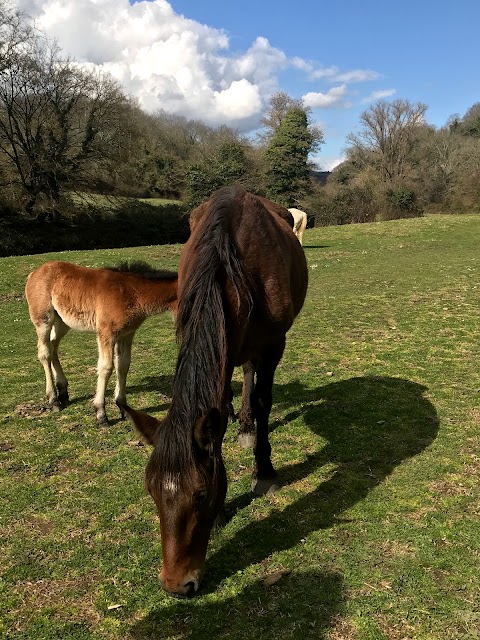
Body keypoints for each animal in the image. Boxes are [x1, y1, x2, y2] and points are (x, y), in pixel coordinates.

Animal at [25, 260, 178, 424]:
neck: (132, 292)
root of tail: (34, 273)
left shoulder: (127, 334)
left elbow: (123, 365)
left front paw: (123, 406)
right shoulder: (106, 333)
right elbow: (106, 367)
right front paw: (101, 414)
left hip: (62, 322)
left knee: (53, 346)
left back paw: (63, 392)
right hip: (43, 320)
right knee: (45, 353)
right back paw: (54, 400)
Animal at [124, 185, 308, 596]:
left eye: (200, 494)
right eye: (151, 491)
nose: (177, 585)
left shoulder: (273, 345)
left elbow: (263, 400)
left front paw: (264, 471)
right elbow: (218, 414)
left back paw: (249, 428)